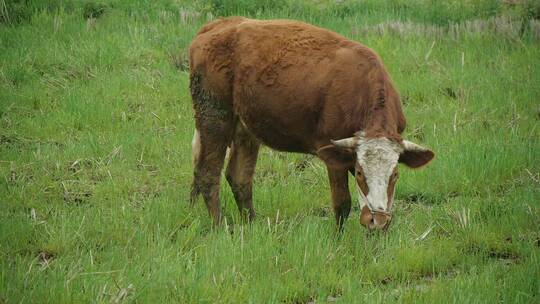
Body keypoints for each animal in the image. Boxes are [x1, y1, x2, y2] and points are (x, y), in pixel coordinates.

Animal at [190, 17, 434, 230]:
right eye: (359, 172)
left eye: (395, 175)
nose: (378, 219)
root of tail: (217, 25)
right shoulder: (333, 156)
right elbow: (342, 204)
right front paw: (337, 240)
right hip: (214, 118)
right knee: (208, 174)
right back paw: (219, 227)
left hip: (245, 129)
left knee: (239, 178)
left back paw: (252, 225)